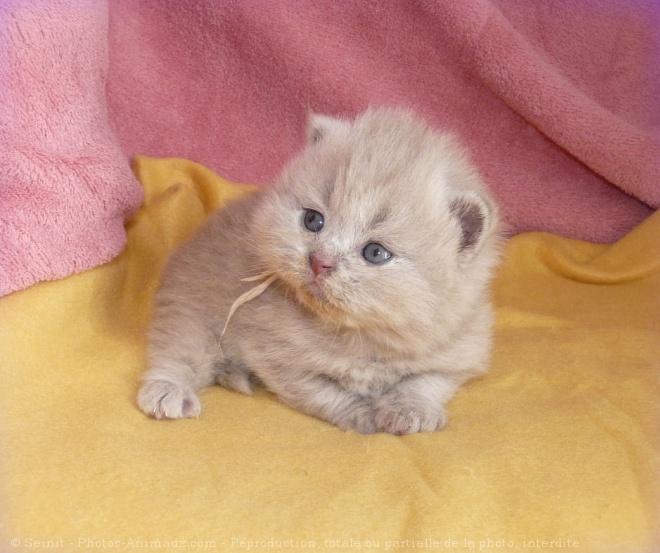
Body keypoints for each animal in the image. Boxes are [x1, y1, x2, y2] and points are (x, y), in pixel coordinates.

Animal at [138, 108, 500, 434]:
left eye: (375, 253)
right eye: (313, 220)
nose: (318, 261)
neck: (361, 335)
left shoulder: (458, 350)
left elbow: (426, 382)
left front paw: (410, 411)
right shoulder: (277, 357)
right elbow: (323, 392)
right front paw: (360, 415)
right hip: (190, 306)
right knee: (181, 349)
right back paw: (168, 391)